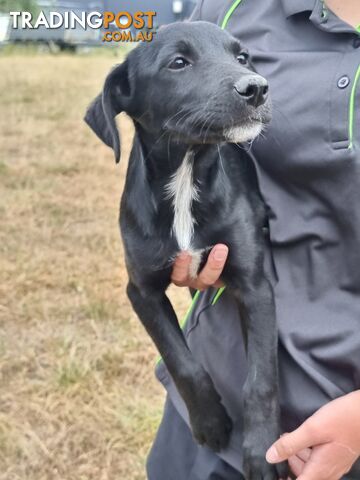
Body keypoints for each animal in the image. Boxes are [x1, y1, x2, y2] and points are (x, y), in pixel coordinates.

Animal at [86, 20, 286, 478]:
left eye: (242, 57)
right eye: (178, 63)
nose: (257, 89)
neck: (186, 176)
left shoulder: (255, 284)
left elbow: (260, 378)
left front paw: (262, 451)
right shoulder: (141, 291)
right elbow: (182, 360)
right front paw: (210, 421)